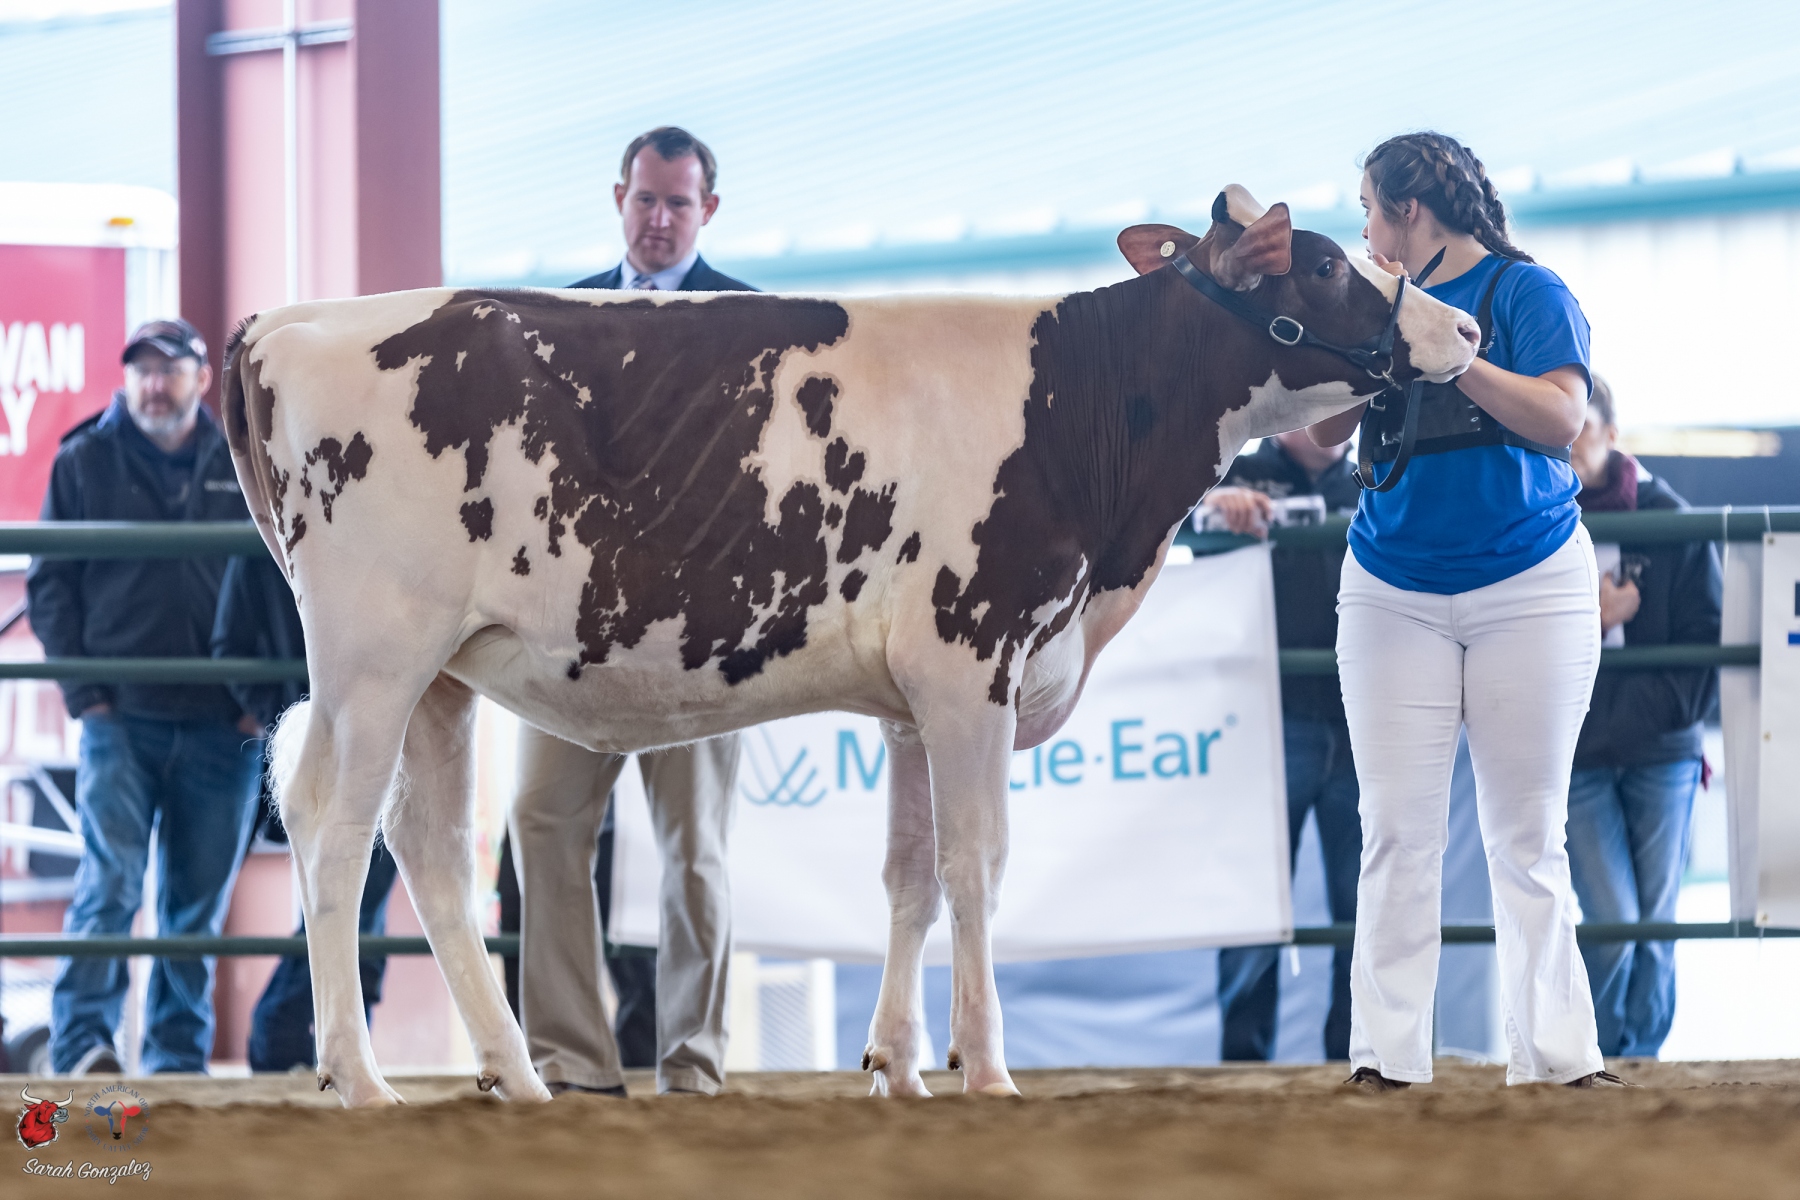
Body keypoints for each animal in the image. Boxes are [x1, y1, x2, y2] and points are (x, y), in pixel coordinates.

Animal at [221, 186, 1478, 1107]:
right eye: (1327, 264)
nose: (1464, 326)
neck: (1083, 409)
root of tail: (288, 320)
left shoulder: (915, 698)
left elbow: (910, 877)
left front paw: (898, 1068)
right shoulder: (973, 664)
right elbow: (978, 868)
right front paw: (990, 1072)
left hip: (441, 672)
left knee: (428, 849)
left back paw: (517, 1080)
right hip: (376, 653)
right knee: (335, 830)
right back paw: (361, 1080)